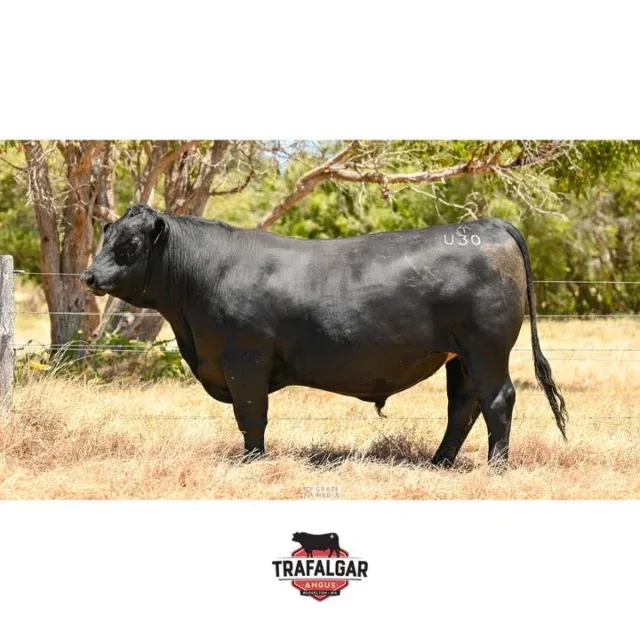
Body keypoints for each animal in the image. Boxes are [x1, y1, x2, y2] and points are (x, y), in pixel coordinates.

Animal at [81, 204, 568, 468]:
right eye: (106, 238)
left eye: (129, 245)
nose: (89, 276)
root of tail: (488, 225)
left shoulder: (244, 360)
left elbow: (251, 415)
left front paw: (254, 461)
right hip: (460, 355)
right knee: (463, 407)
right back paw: (439, 462)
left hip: (487, 348)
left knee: (498, 400)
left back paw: (495, 467)